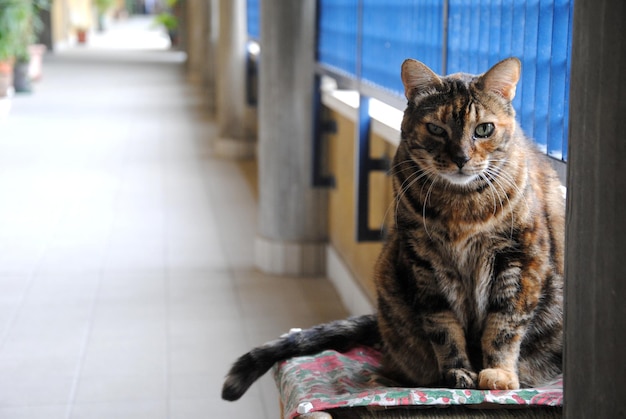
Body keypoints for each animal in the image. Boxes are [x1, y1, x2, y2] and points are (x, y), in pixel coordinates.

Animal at [222, 57, 564, 402]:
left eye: (484, 129)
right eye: (436, 129)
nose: (461, 158)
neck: (460, 206)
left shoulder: (519, 258)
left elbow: (504, 323)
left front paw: (498, 373)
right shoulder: (424, 263)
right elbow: (443, 326)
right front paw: (456, 371)